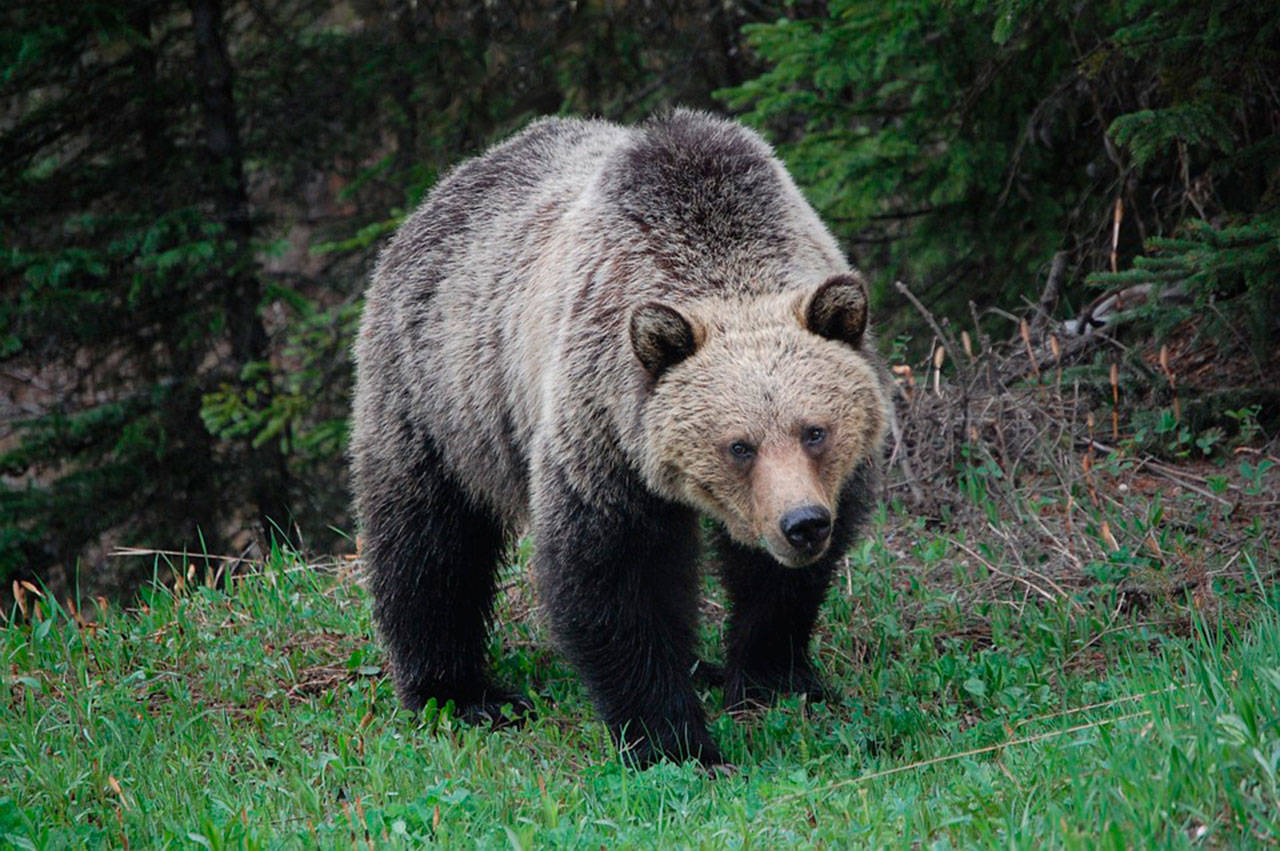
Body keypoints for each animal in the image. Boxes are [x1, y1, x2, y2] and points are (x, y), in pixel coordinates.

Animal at [350, 106, 890, 762]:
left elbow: (780, 584)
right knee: (429, 543)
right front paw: (675, 741)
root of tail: (442, 189)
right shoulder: (603, 429)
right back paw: (460, 692)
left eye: (815, 431)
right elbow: (616, 577)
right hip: (440, 393)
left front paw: (775, 677)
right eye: (738, 445)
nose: (802, 524)